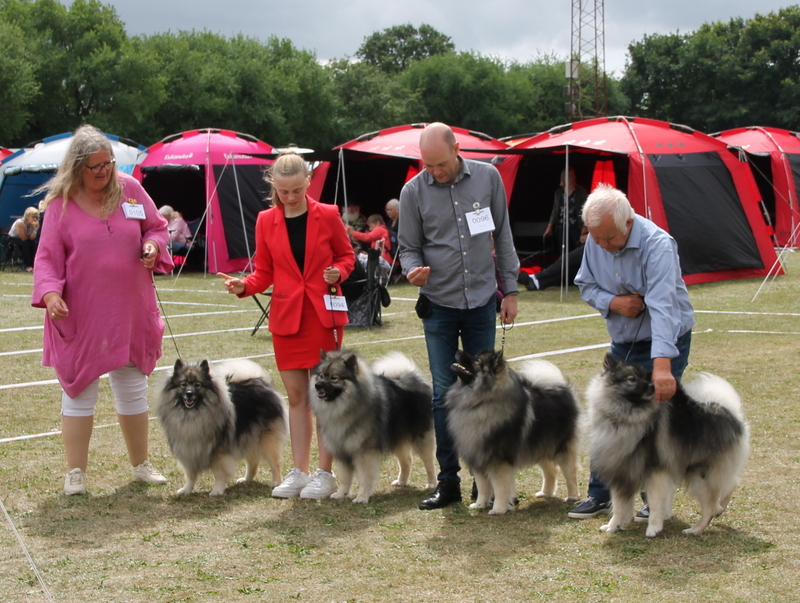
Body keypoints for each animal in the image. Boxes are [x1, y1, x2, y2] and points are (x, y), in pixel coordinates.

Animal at [155, 360, 288, 498]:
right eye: (183, 384)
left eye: (198, 385)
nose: (189, 394)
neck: (192, 416)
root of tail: (263, 384)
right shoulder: (188, 451)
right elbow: (190, 475)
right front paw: (186, 489)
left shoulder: (219, 453)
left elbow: (219, 474)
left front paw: (217, 490)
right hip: (248, 435)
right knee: (253, 461)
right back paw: (247, 479)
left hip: (265, 440)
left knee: (274, 463)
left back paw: (276, 482)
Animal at [310, 350, 438, 504]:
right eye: (321, 375)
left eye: (334, 378)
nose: (318, 385)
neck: (344, 409)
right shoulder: (341, 451)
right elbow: (345, 478)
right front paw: (341, 493)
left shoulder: (364, 452)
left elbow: (364, 477)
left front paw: (361, 497)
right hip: (396, 436)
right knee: (407, 461)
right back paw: (401, 481)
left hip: (420, 438)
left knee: (429, 462)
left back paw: (431, 484)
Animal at [444, 352, 580, 516]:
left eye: (477, 361)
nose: (458, 351)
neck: (480, 403)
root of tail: (561, 389)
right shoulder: (479, 459)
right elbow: (483, 487)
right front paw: (480, 504)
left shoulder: (498, 461)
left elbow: (500, 488)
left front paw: (498, 509)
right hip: (539, 446)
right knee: (551, 471)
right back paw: (545, 493)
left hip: (560, 447)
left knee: (569, 472)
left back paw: (572, 496)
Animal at [588, 354, 752, 536]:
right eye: (632, 379)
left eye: (646, 378)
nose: (652, 386)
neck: (622, 420)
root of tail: (732, 416)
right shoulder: (621, 472)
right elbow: (618, 506)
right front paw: (614, 526)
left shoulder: (655, 472)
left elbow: (654, 502)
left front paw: (653, 528)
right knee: (730, 484)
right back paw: (719, 508)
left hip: (701, 475)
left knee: (711, 504)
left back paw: (696, 529)